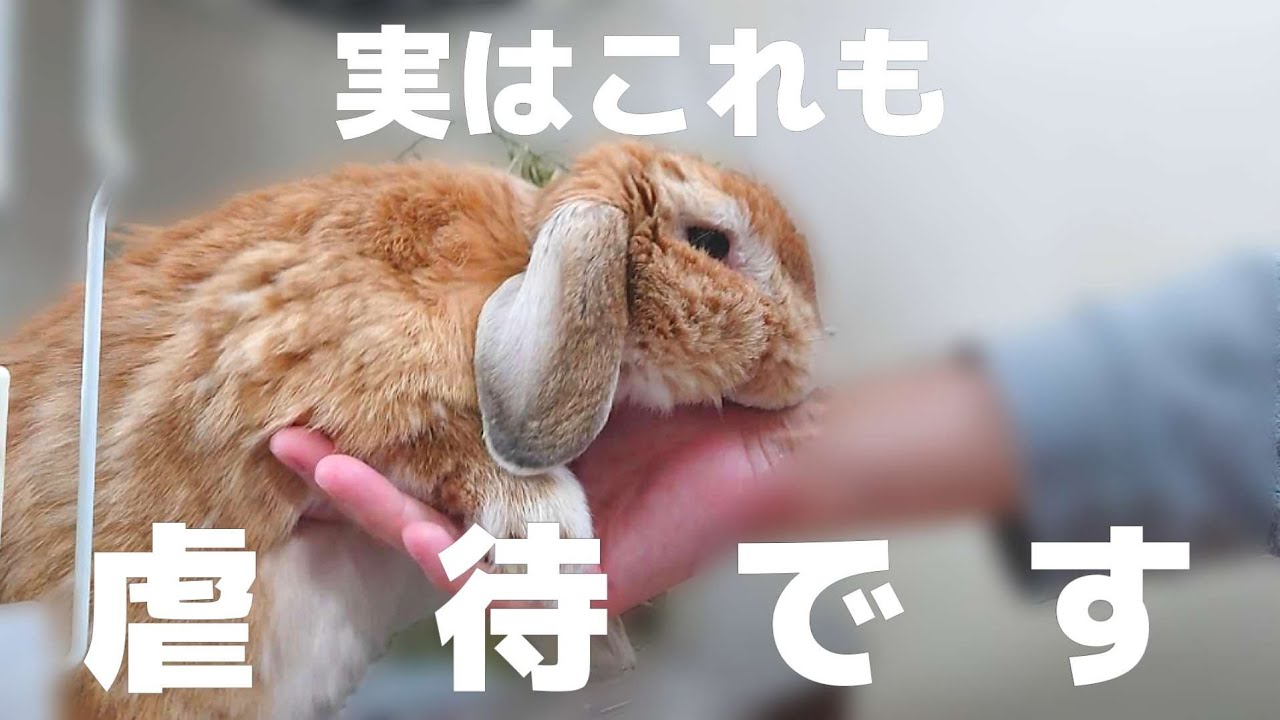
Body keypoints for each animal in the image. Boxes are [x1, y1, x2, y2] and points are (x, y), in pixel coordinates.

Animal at [0, 140, 823, 719]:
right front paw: (550, 532)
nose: (810, 360)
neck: (521, 247)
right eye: (711, 243)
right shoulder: (318, 373)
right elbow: (444, 444)